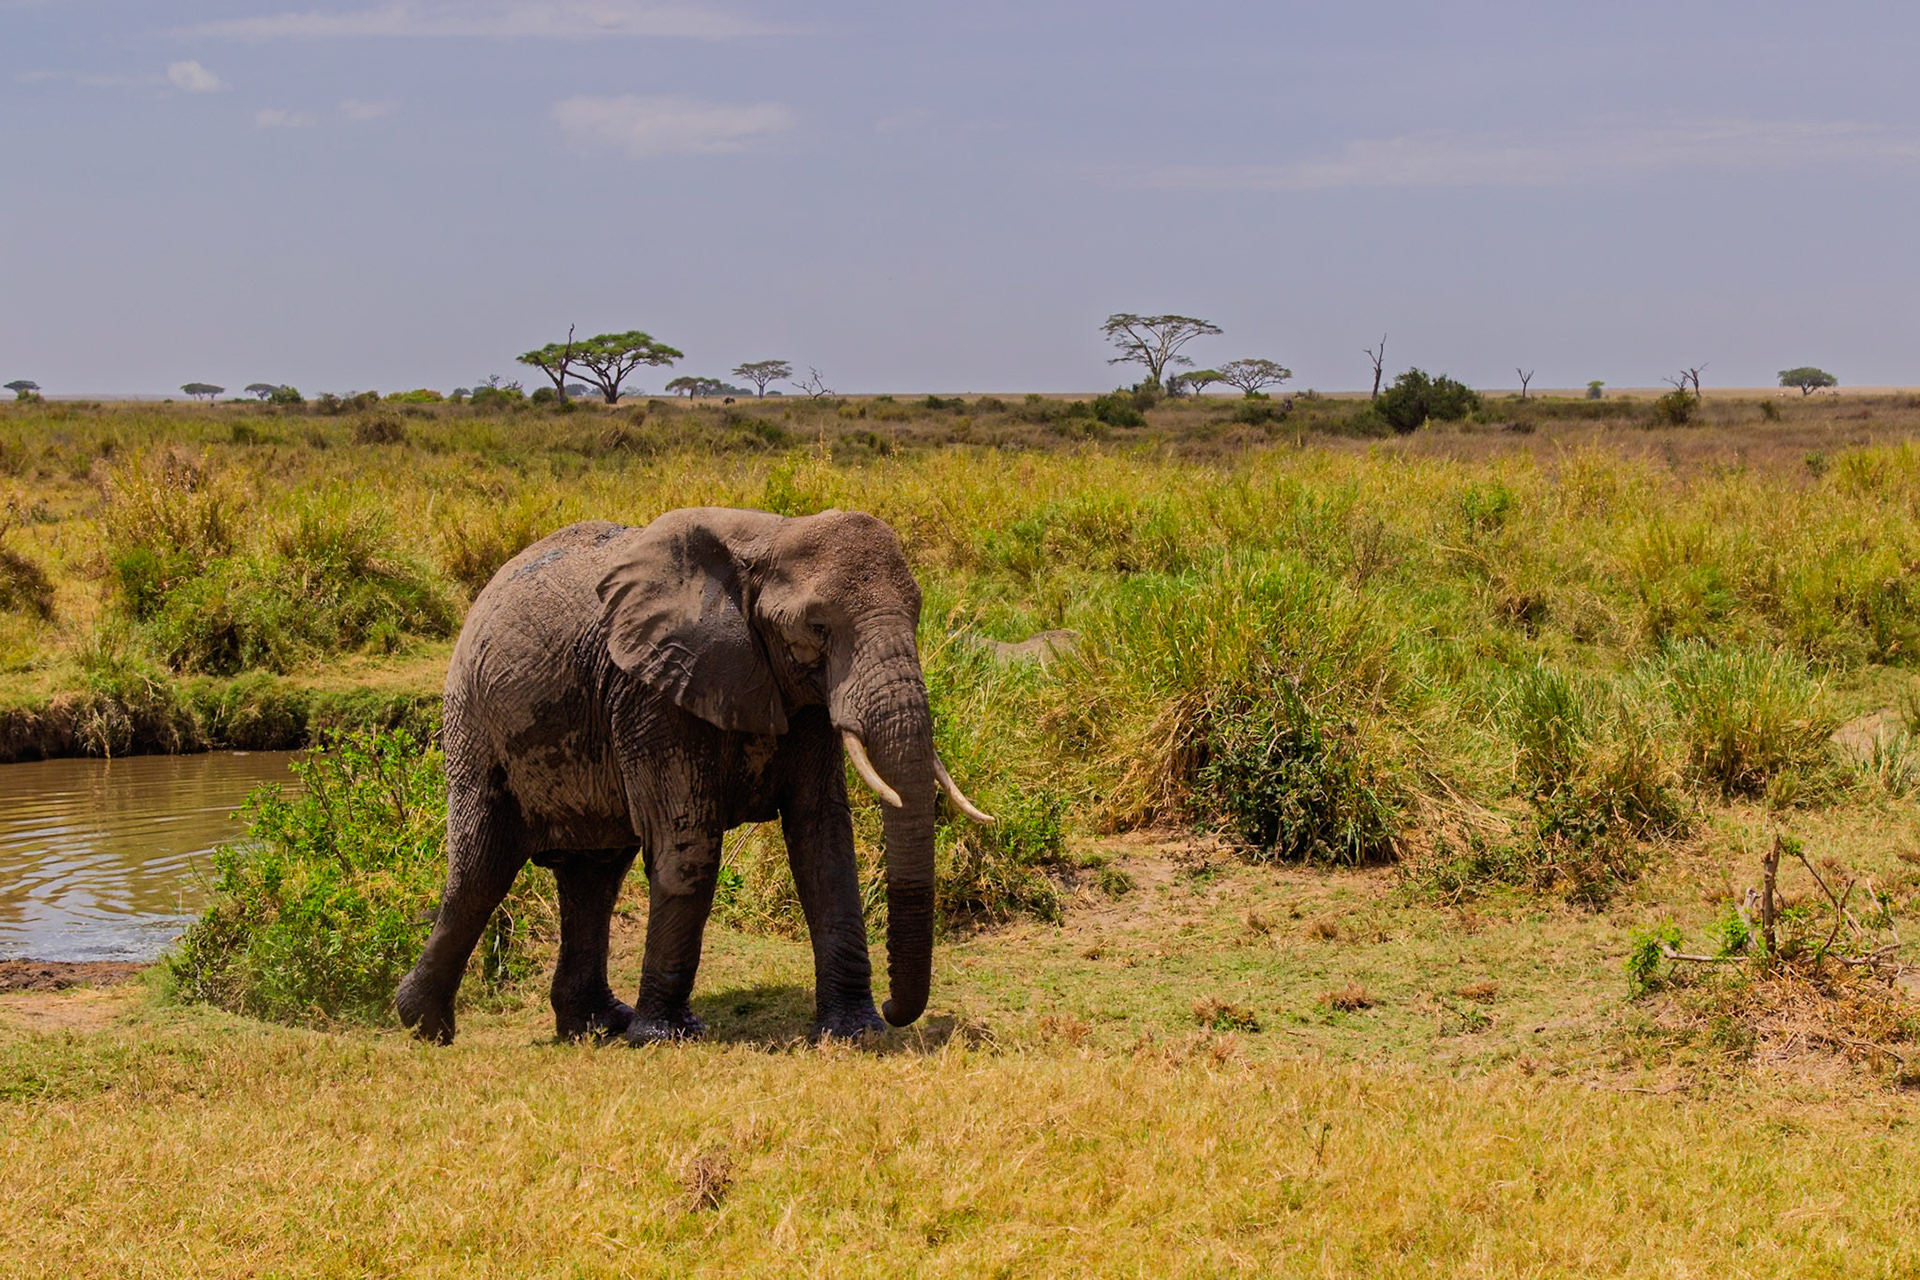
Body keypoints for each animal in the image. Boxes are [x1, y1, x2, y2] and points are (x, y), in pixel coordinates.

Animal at [393, 506, 993, 1045]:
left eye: (917, 614)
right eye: (817, 628)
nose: (895, 1009)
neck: (771, 536)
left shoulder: (802, 697)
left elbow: (823, 840)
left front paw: (855, 1032)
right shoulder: (651, 690)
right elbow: (690, 842)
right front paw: (666, 1036)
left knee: (594, 876)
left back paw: (596, 1027)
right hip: (474, 720)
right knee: (482, 870)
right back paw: (424, 1027)